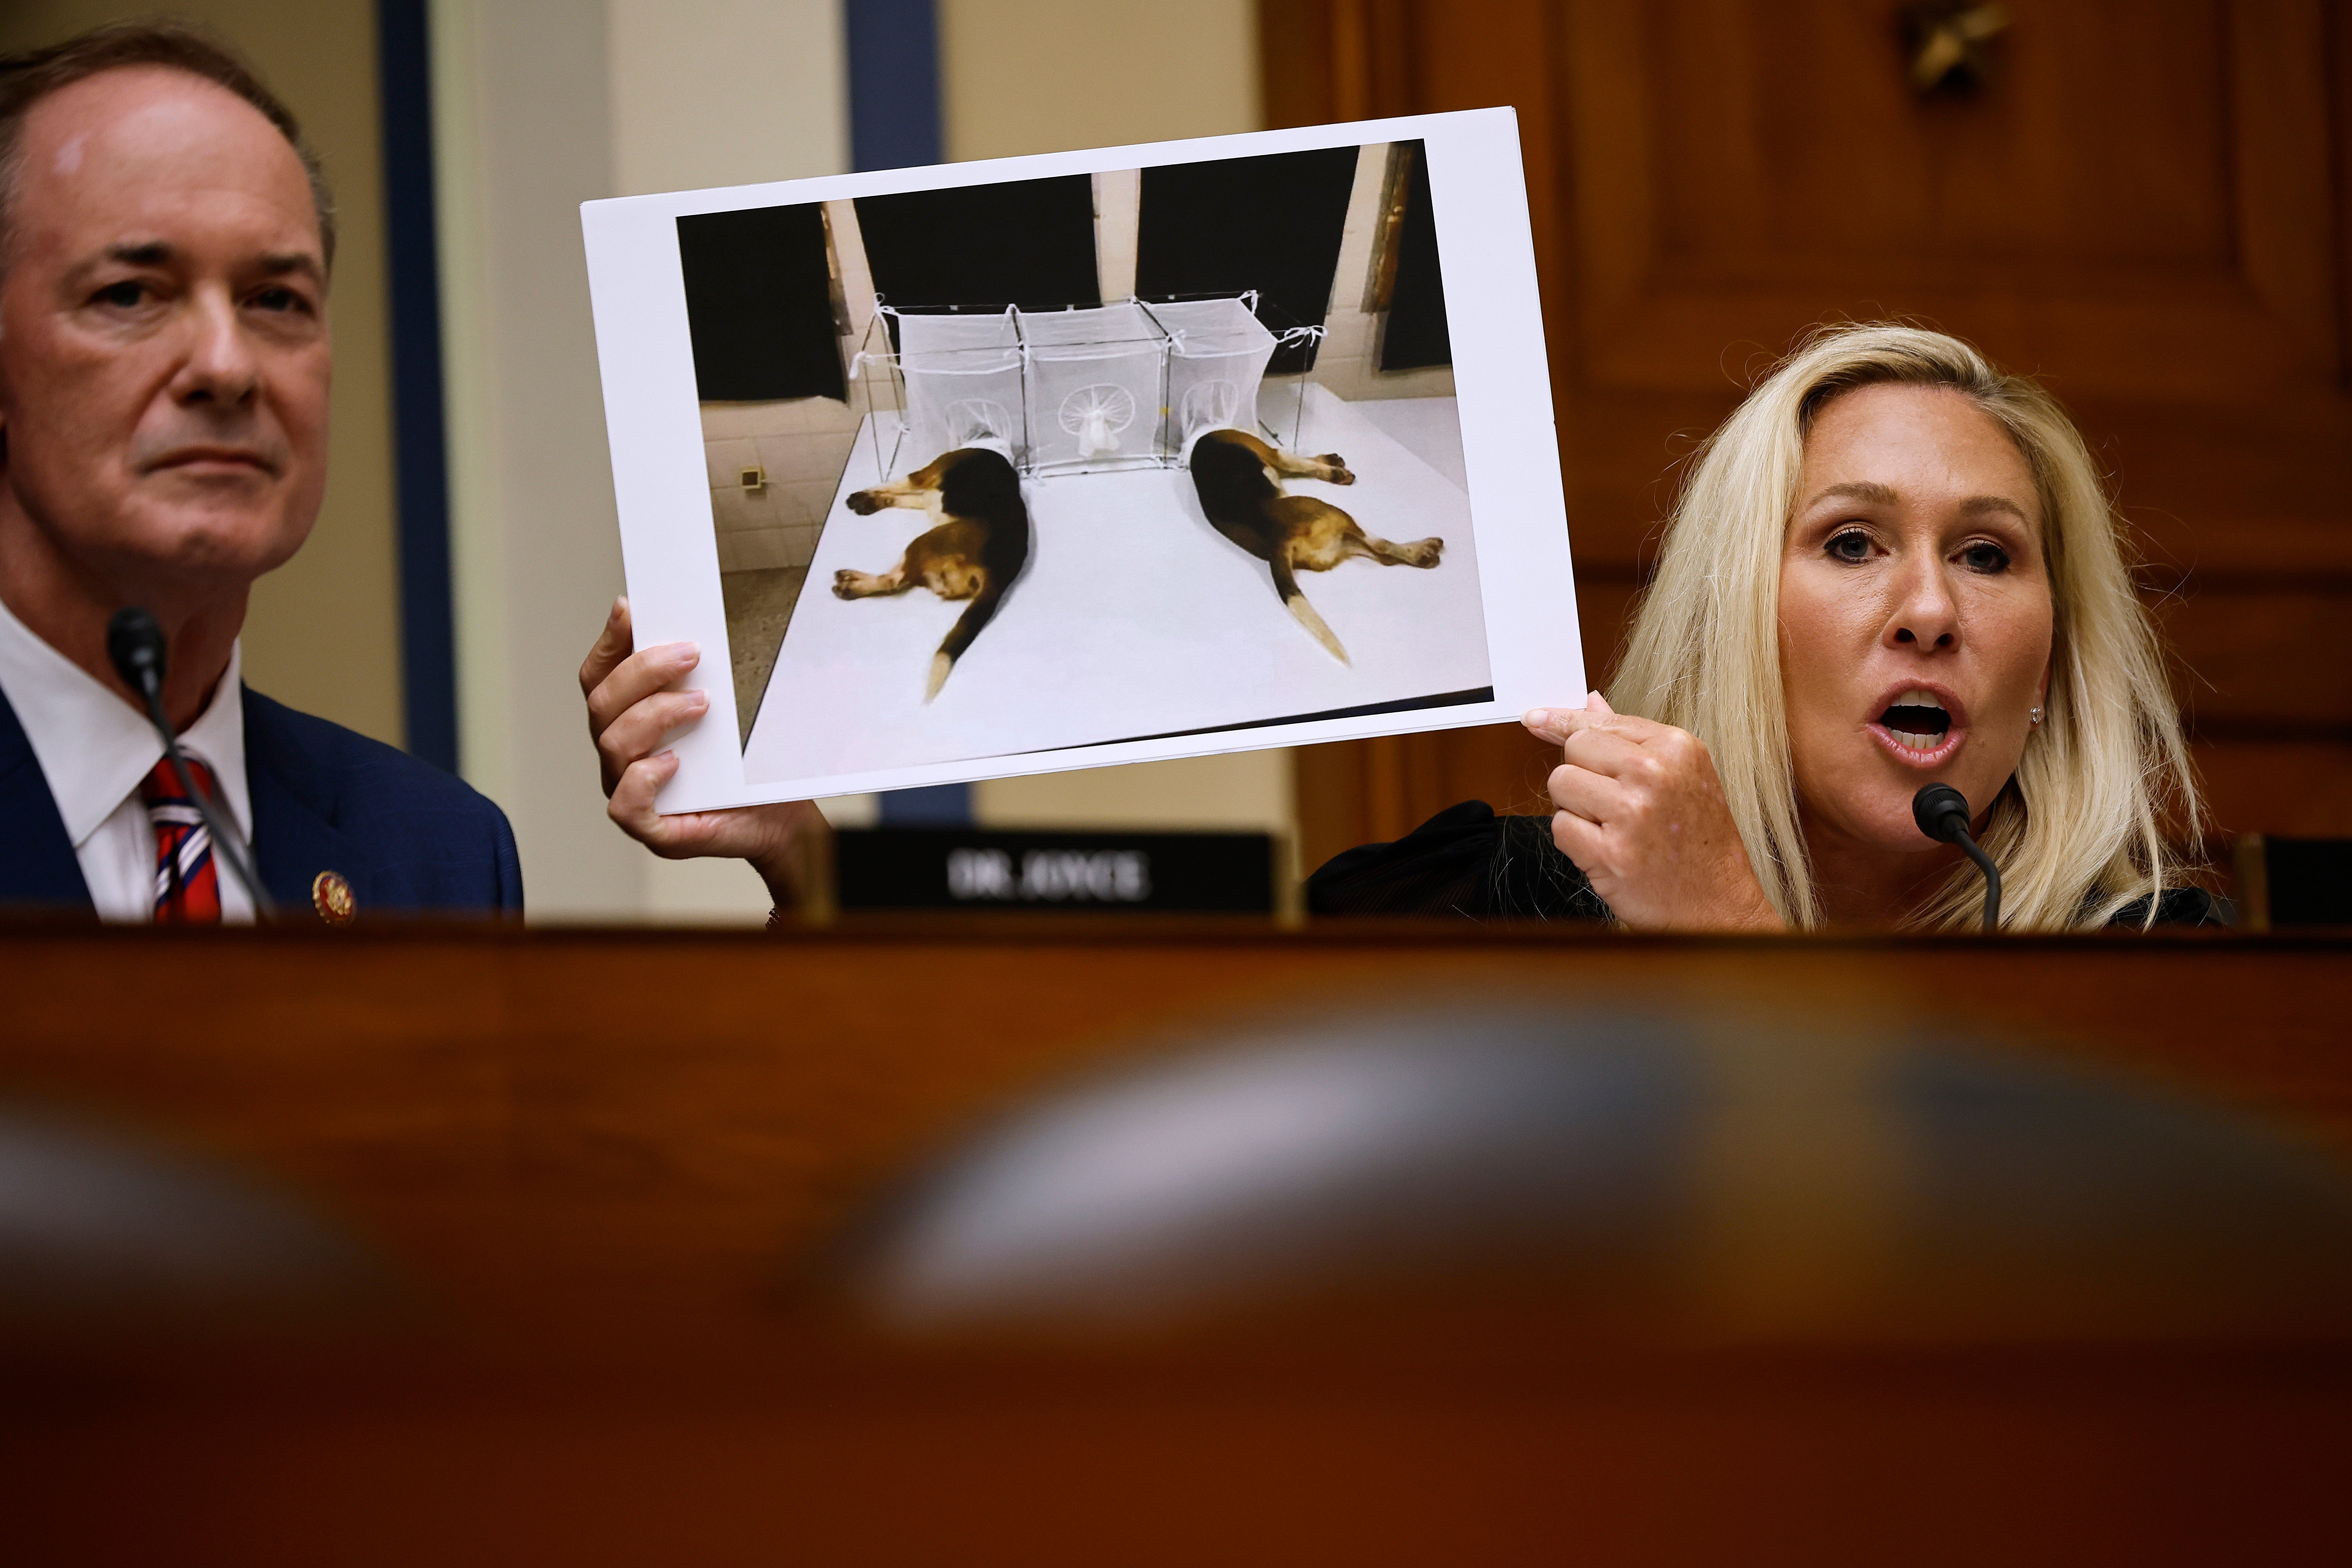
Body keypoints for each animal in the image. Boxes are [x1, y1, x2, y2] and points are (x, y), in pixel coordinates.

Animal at [847, 444, 1030, 696]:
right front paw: (872, 502)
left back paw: (849, 585)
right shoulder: (925, 498)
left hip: (923, 542)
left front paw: (863, 496)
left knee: (893, 581)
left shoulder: (920, 477)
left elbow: (890, 485)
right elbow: (897, 496)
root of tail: (999, 574)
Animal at [1185, 425, 1439, 667]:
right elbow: (1303, 463)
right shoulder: (1275, 455)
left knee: (1383, 557)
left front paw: (1331, 463)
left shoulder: (1277, 464)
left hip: (1341, 541)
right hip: (1338, 515)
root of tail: (1276, 541)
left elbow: (1305, 464)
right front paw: (1334, 471)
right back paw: (1422, 550)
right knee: (1382, 546)